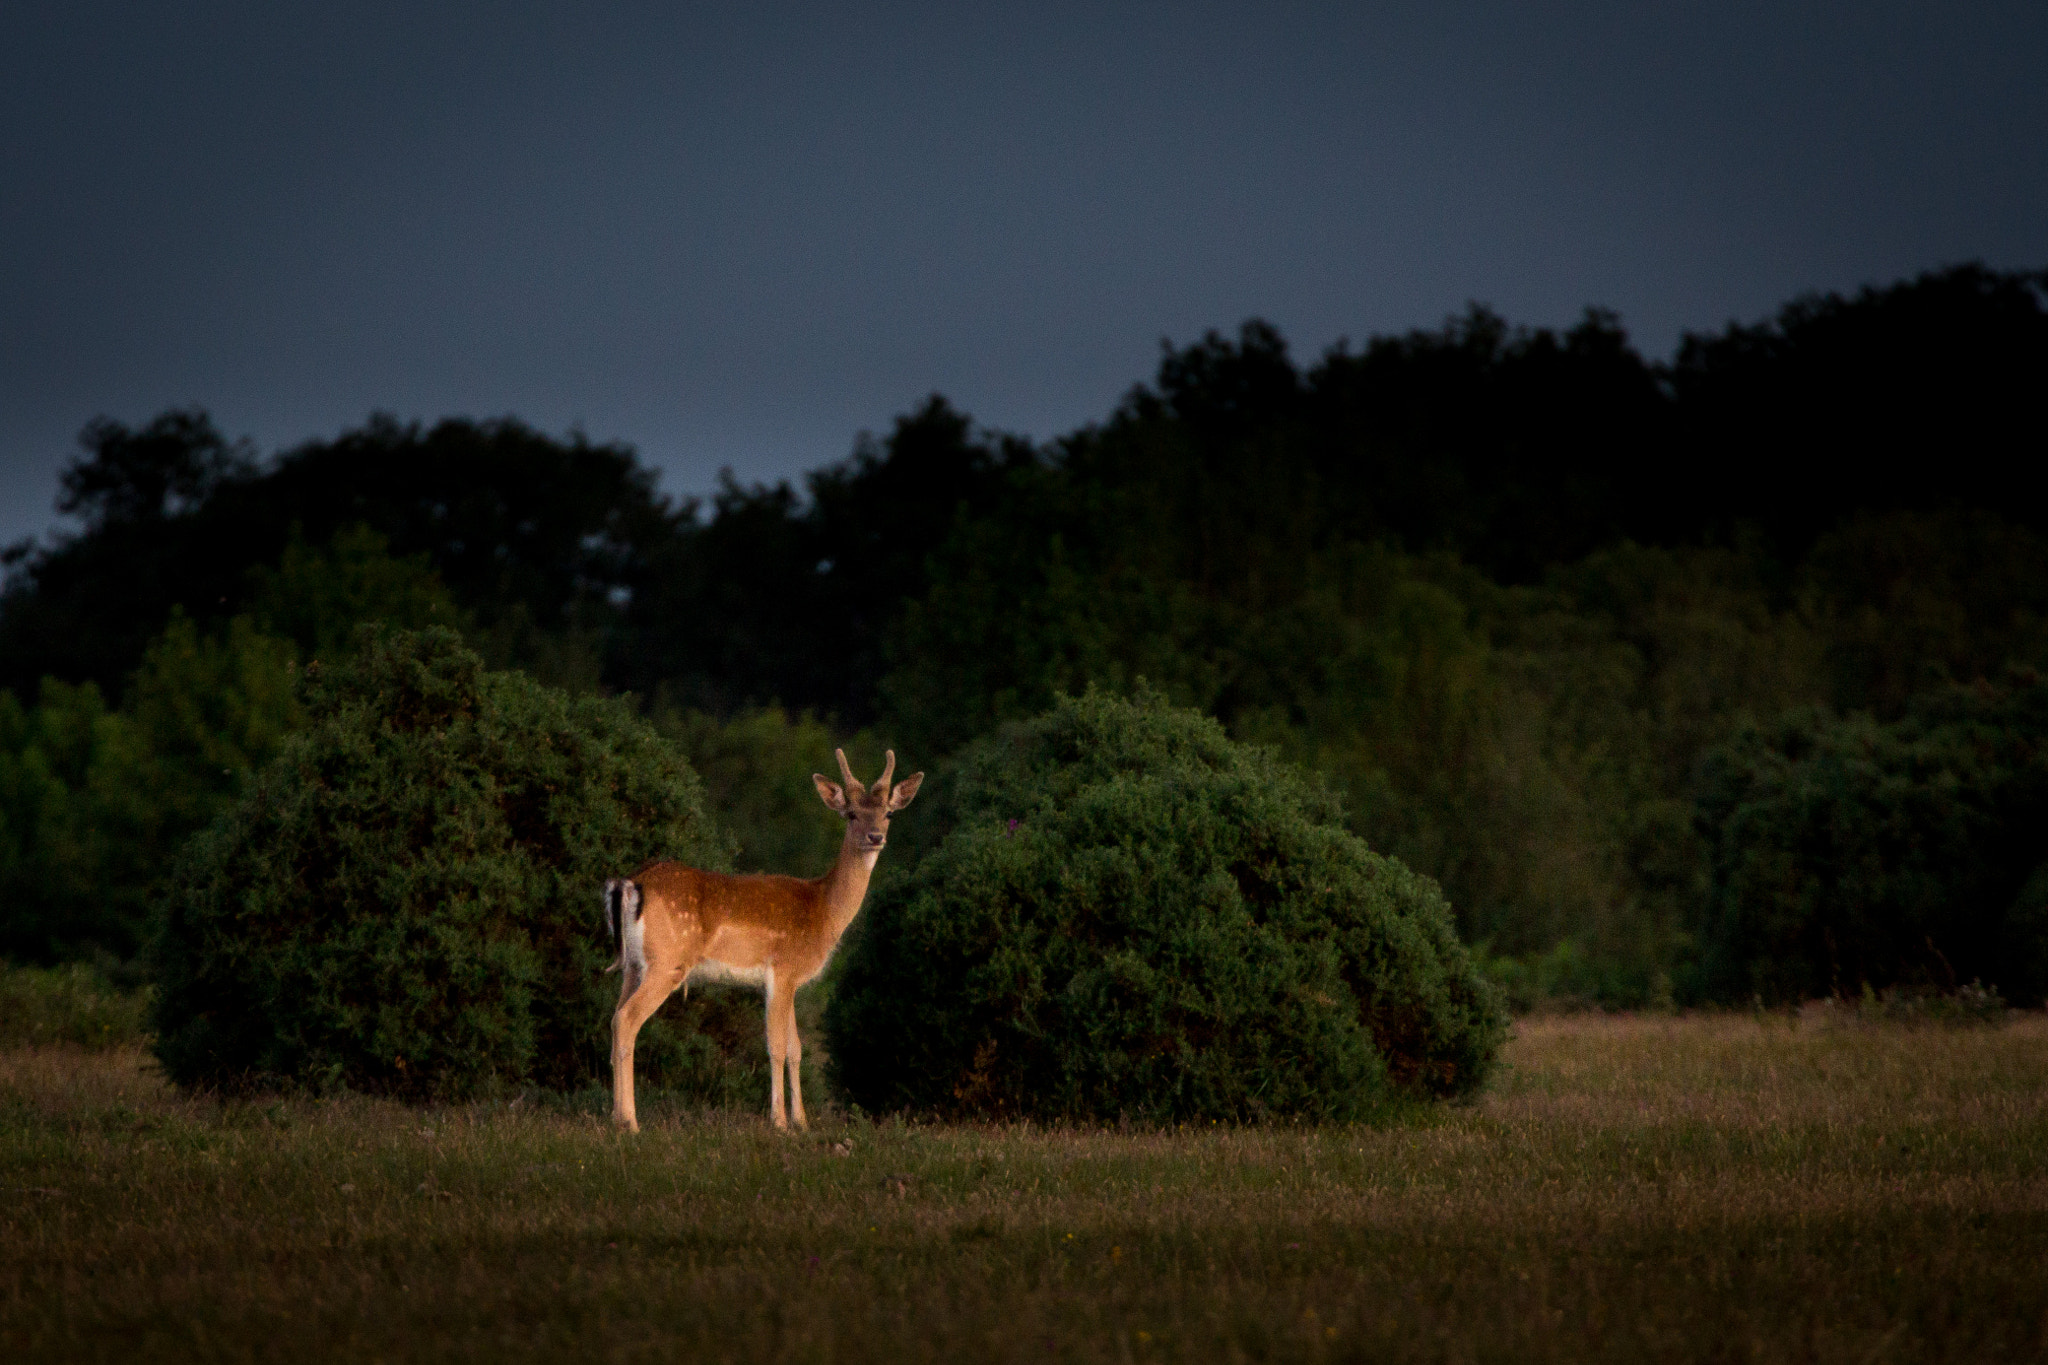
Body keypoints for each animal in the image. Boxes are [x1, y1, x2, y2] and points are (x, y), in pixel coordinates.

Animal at [602, 748, 922, 1132]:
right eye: (851, 814)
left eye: (888, 812)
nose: (875, 837)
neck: (823, 910)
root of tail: (631, 884)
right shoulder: (782, 970)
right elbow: (777, 1046)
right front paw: (779, 1123)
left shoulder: (793, 981)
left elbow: (797, 1049)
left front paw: (802, 1123)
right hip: (667, 962)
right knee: (627, 1020)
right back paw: (631, 1122)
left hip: (632, 965)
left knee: (614, 1018)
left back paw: (615, 1117)